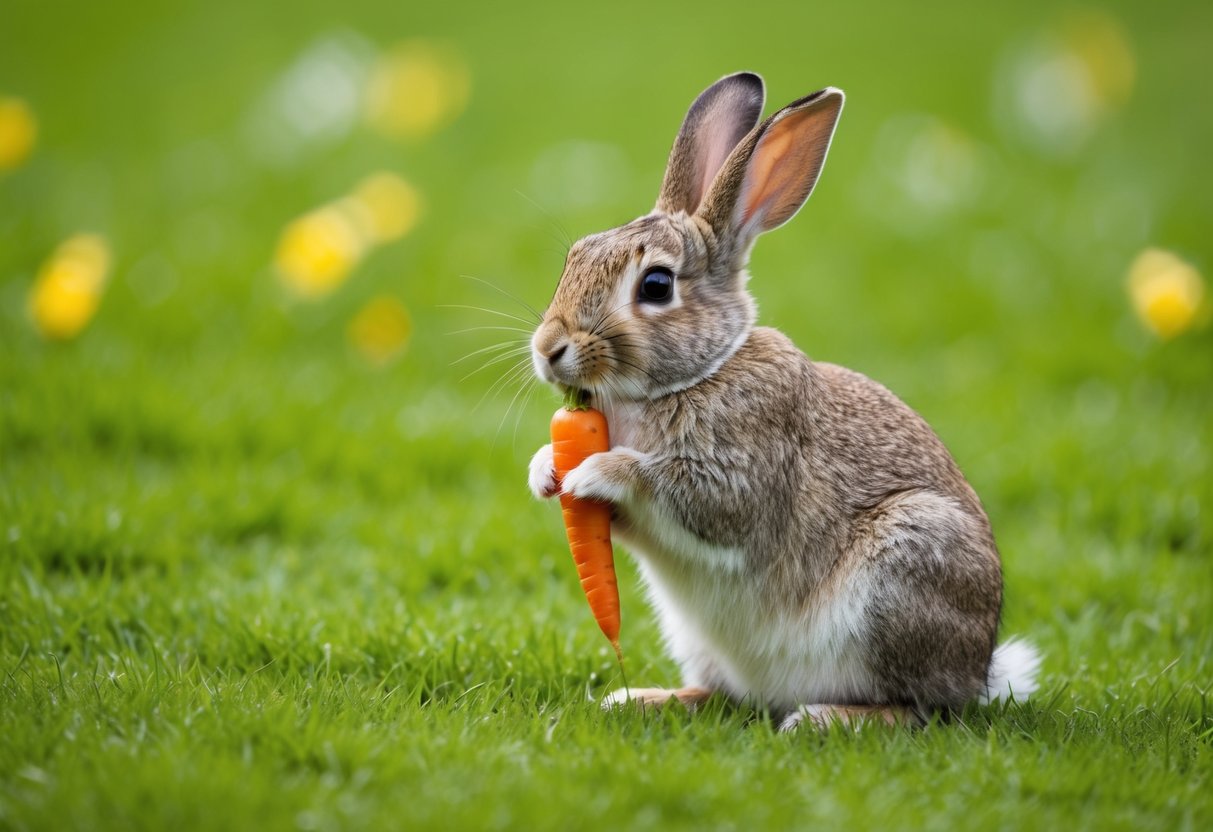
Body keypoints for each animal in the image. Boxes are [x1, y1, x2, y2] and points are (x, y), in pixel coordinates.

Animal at [526, 72, 1040, 730]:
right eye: (574, 256)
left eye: (656, 286)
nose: (548, 349)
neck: (692, 375)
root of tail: (979, 672)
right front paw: (546, 469)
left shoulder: (744, 469)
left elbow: (693, 494)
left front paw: (597, 470)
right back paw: (644, 698)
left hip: (908, 566)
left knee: (919, 709)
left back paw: (823, 719)